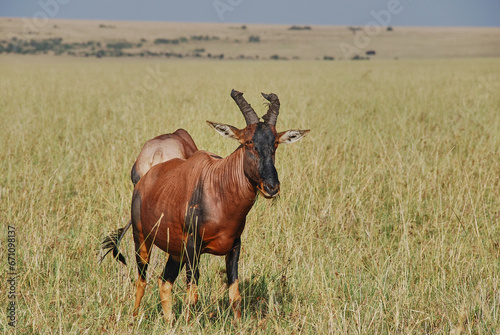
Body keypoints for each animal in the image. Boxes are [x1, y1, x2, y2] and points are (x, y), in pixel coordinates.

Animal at [101, 89, 308, 322]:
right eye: (247, 142)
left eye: (275, 144)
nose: (272, 187)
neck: (217, 185)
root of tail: (145, 179)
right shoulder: (193, 247)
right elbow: (193, 296)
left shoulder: (234, 246)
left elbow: (234, 295)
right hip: (142, 240)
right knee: (142, 280)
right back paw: (134, 318)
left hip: (176, 252)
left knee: (164, 283)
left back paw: (169, 322)